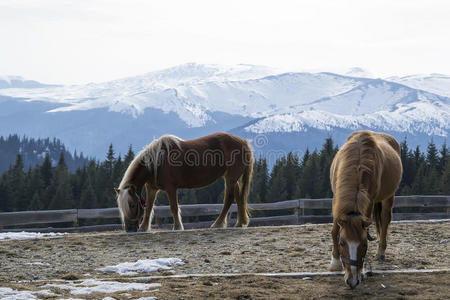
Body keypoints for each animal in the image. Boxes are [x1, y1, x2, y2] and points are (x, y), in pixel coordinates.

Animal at [113, 132, 253, 232]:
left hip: (230, 178)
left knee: (229, 199)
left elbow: (174, 207)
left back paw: (217, 224)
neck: (156, 163)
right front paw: (144, 228)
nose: (129, 229)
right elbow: (149, 208)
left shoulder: (171, 188)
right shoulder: (151, 189)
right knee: (239, 198)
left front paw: (177, 227)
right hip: (232, 179)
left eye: (132, 205)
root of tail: (244, 143)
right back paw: (240, 223)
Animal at [328, 130, 402, 290]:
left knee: (385, 220)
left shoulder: (370, 202)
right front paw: (335, 262)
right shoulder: (336, 197)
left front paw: (362, 271)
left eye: (364, 245)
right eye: (342, 243)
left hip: (388, 196)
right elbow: (335, 230)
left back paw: (381, 252)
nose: (352, 281)